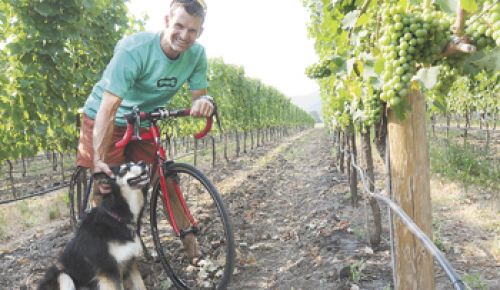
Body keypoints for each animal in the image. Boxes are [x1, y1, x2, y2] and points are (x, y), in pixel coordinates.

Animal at [38, 161, 149, 290]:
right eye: (124, 169)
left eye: (134, 162)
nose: (143, 163)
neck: (116, 217)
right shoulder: (109, 270)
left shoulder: (130, 262)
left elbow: (141, 285)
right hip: (64, 276)